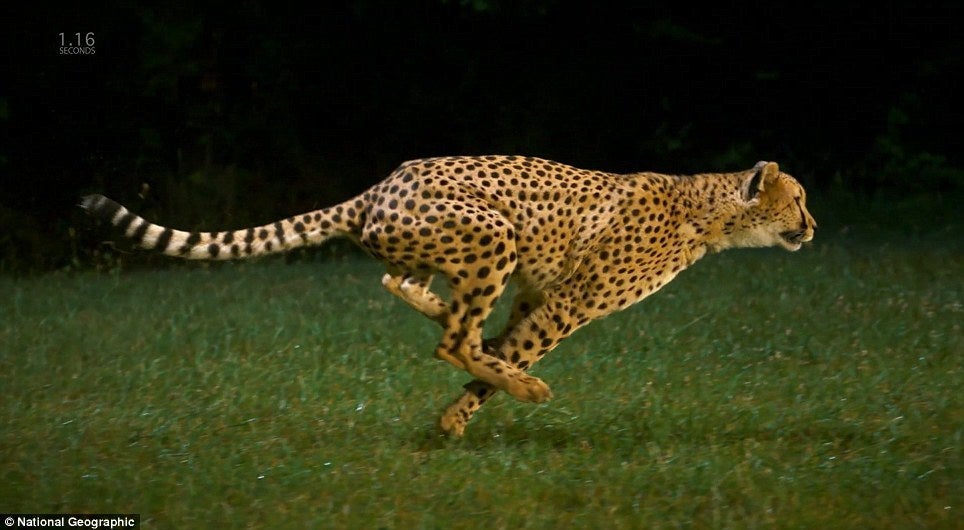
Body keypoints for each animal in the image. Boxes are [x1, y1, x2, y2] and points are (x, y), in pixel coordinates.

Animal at [80, 155, 816, 437]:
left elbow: (508, 343)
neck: (710, 212)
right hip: (493, 232)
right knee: (451, 337)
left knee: (406, 287)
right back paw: (518, 382)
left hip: (457, 250)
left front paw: (462, 410)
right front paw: (466, 413)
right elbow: (517, 352)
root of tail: (380, 185)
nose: (812, 226)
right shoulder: (569, 302)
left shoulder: (536, 294)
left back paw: (456, 322)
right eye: (798, 200)